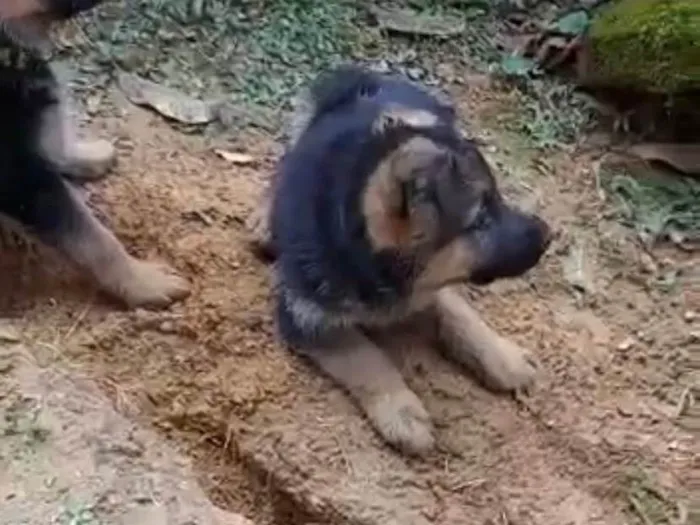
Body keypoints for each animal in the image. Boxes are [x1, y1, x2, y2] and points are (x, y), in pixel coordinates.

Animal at [246, 66, 552, 454]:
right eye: (480, 221)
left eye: (499, 200)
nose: (548, 235)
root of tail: (368, 76)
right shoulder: (307, 315)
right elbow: (364, 357)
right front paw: (403, 413)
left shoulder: (431, 285)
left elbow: (461, 315)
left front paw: (504, 359)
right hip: (305, 116)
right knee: (282, 162)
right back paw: (264, 221)